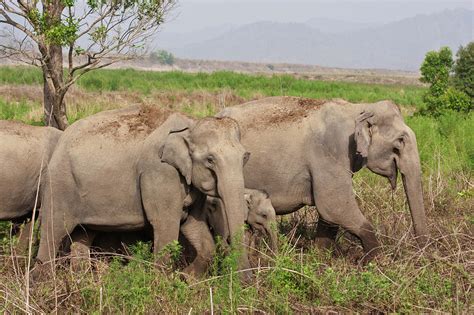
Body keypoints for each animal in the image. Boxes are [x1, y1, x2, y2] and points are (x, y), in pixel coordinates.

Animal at [35, 105, 250, 276]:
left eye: (245, 157)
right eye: (210, 160)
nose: (245, 281)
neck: (190, 124)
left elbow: (194, 226)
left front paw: (187, 278)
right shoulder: (160, 173)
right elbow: (166, 230)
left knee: (83, 235)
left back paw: (81, 281)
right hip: (59, 184)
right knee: (52, 233)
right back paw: (46, 284)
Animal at [218, 97, 430, 262]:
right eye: (400, 141)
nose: (421, 254)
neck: (357, 109)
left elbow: (329, 215)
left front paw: (321, 258)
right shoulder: (331, 153)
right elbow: (334, 206)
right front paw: (374, 263)